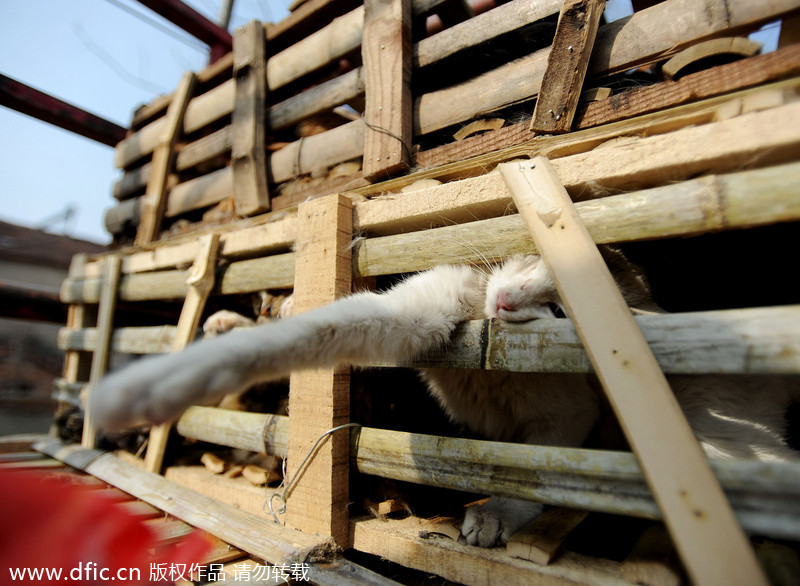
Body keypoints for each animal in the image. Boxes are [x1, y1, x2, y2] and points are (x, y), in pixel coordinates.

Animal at [90, 249, 796, 544]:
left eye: (561, 310)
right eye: (535, 261)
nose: (506, 301)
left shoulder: (568, 418)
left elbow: (538, 473)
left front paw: (495, 514)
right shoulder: (428, 308)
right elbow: (318, 328)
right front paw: (161, 380)